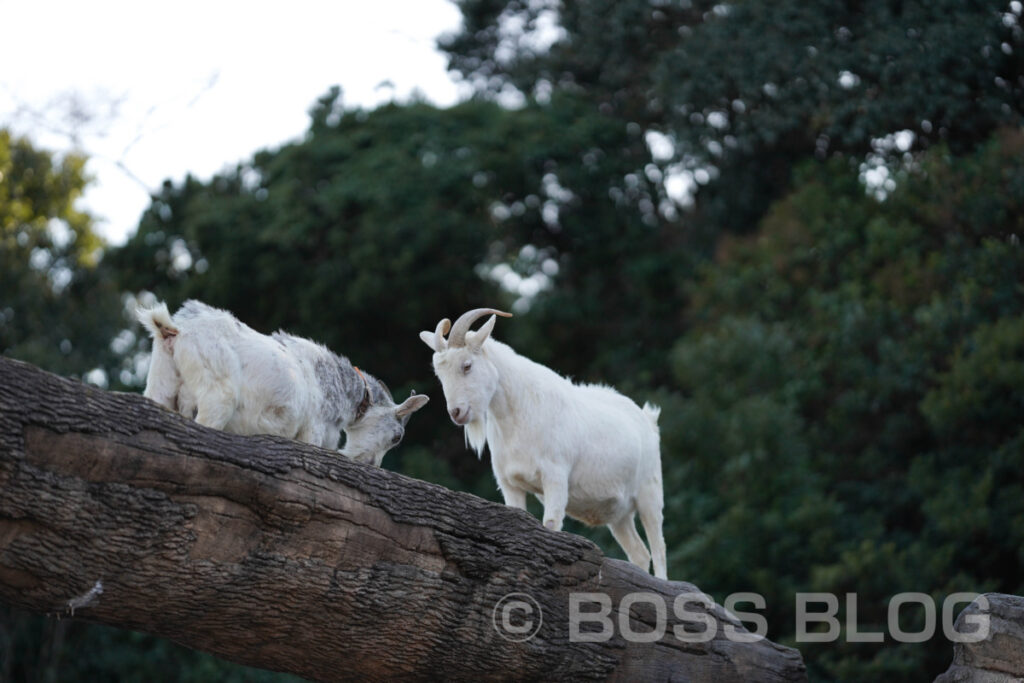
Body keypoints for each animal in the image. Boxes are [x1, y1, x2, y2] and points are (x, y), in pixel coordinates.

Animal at [138, 299, 425, 464]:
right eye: (397, 437)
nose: (370, 464)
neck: (340, 387)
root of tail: (174, 330)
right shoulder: (313, 431)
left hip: (162, 385)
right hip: (217, 395)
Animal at [419, 307, 667, 581]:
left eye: (467, 365)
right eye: (439, 374)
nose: (457, 412)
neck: (518, 416)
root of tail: (647, 419)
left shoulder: (555, 478)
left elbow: (551, 525)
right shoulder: (510, 484)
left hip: (650, 492)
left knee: (658, 547)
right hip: (619, 514)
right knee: (639, 553)